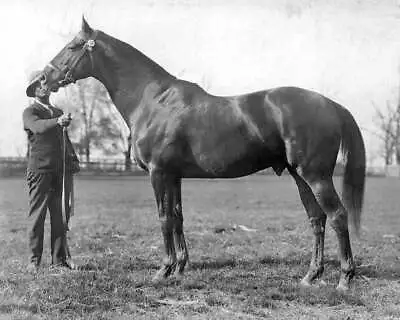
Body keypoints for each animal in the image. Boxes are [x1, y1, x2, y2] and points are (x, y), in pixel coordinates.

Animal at [32, 16, 368, 290]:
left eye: (72, 46)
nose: (43, 80)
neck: (152, 99)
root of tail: (330, 104)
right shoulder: (174, 176)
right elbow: (178, 217)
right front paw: (180, 269)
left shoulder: (159, 173)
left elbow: (164, 218)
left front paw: (163, 270)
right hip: (300, 176)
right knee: (317, 219)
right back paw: (311, 276)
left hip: (316, 176)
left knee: (337, 216)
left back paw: (344, 279)